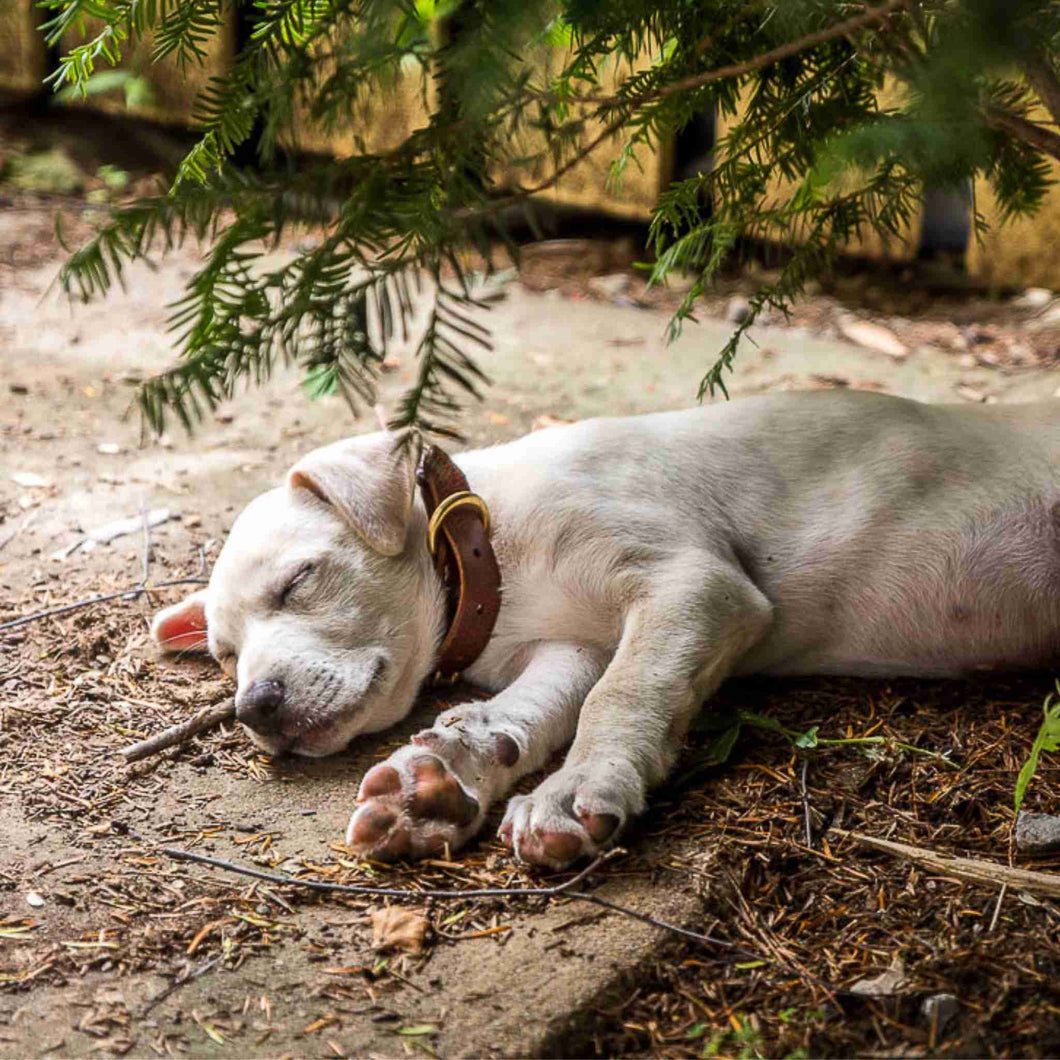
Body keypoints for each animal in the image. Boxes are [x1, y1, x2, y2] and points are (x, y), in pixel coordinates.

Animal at [147, 390, 1060, 869]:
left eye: (299, 581)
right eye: (225, 657)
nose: (255, 708)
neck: (494, 551)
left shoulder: (694, 585)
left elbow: (623, 695)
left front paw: (577, 790)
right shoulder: (569, 644)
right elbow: (530, 711)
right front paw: (439, 783)